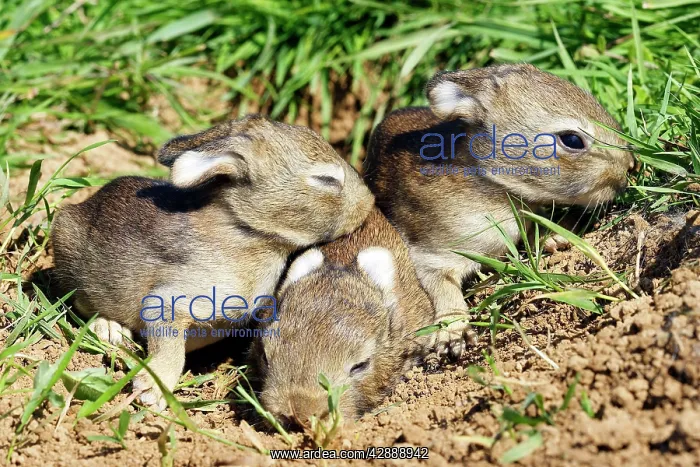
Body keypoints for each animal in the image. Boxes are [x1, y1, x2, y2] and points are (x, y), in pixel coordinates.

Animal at [51, 114, 375, 409]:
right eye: (326, 180)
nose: (369, 202)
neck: (248, 231)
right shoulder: (169, 301)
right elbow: (169, 347)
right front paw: (152, 390)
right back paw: (108, 328)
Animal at [364, 63, 635, 359]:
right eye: (572, 140)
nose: (629, 167)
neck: (491, 181)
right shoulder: (431, 253)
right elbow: (442, 287)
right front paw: (454, 334)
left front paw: (554, 238)